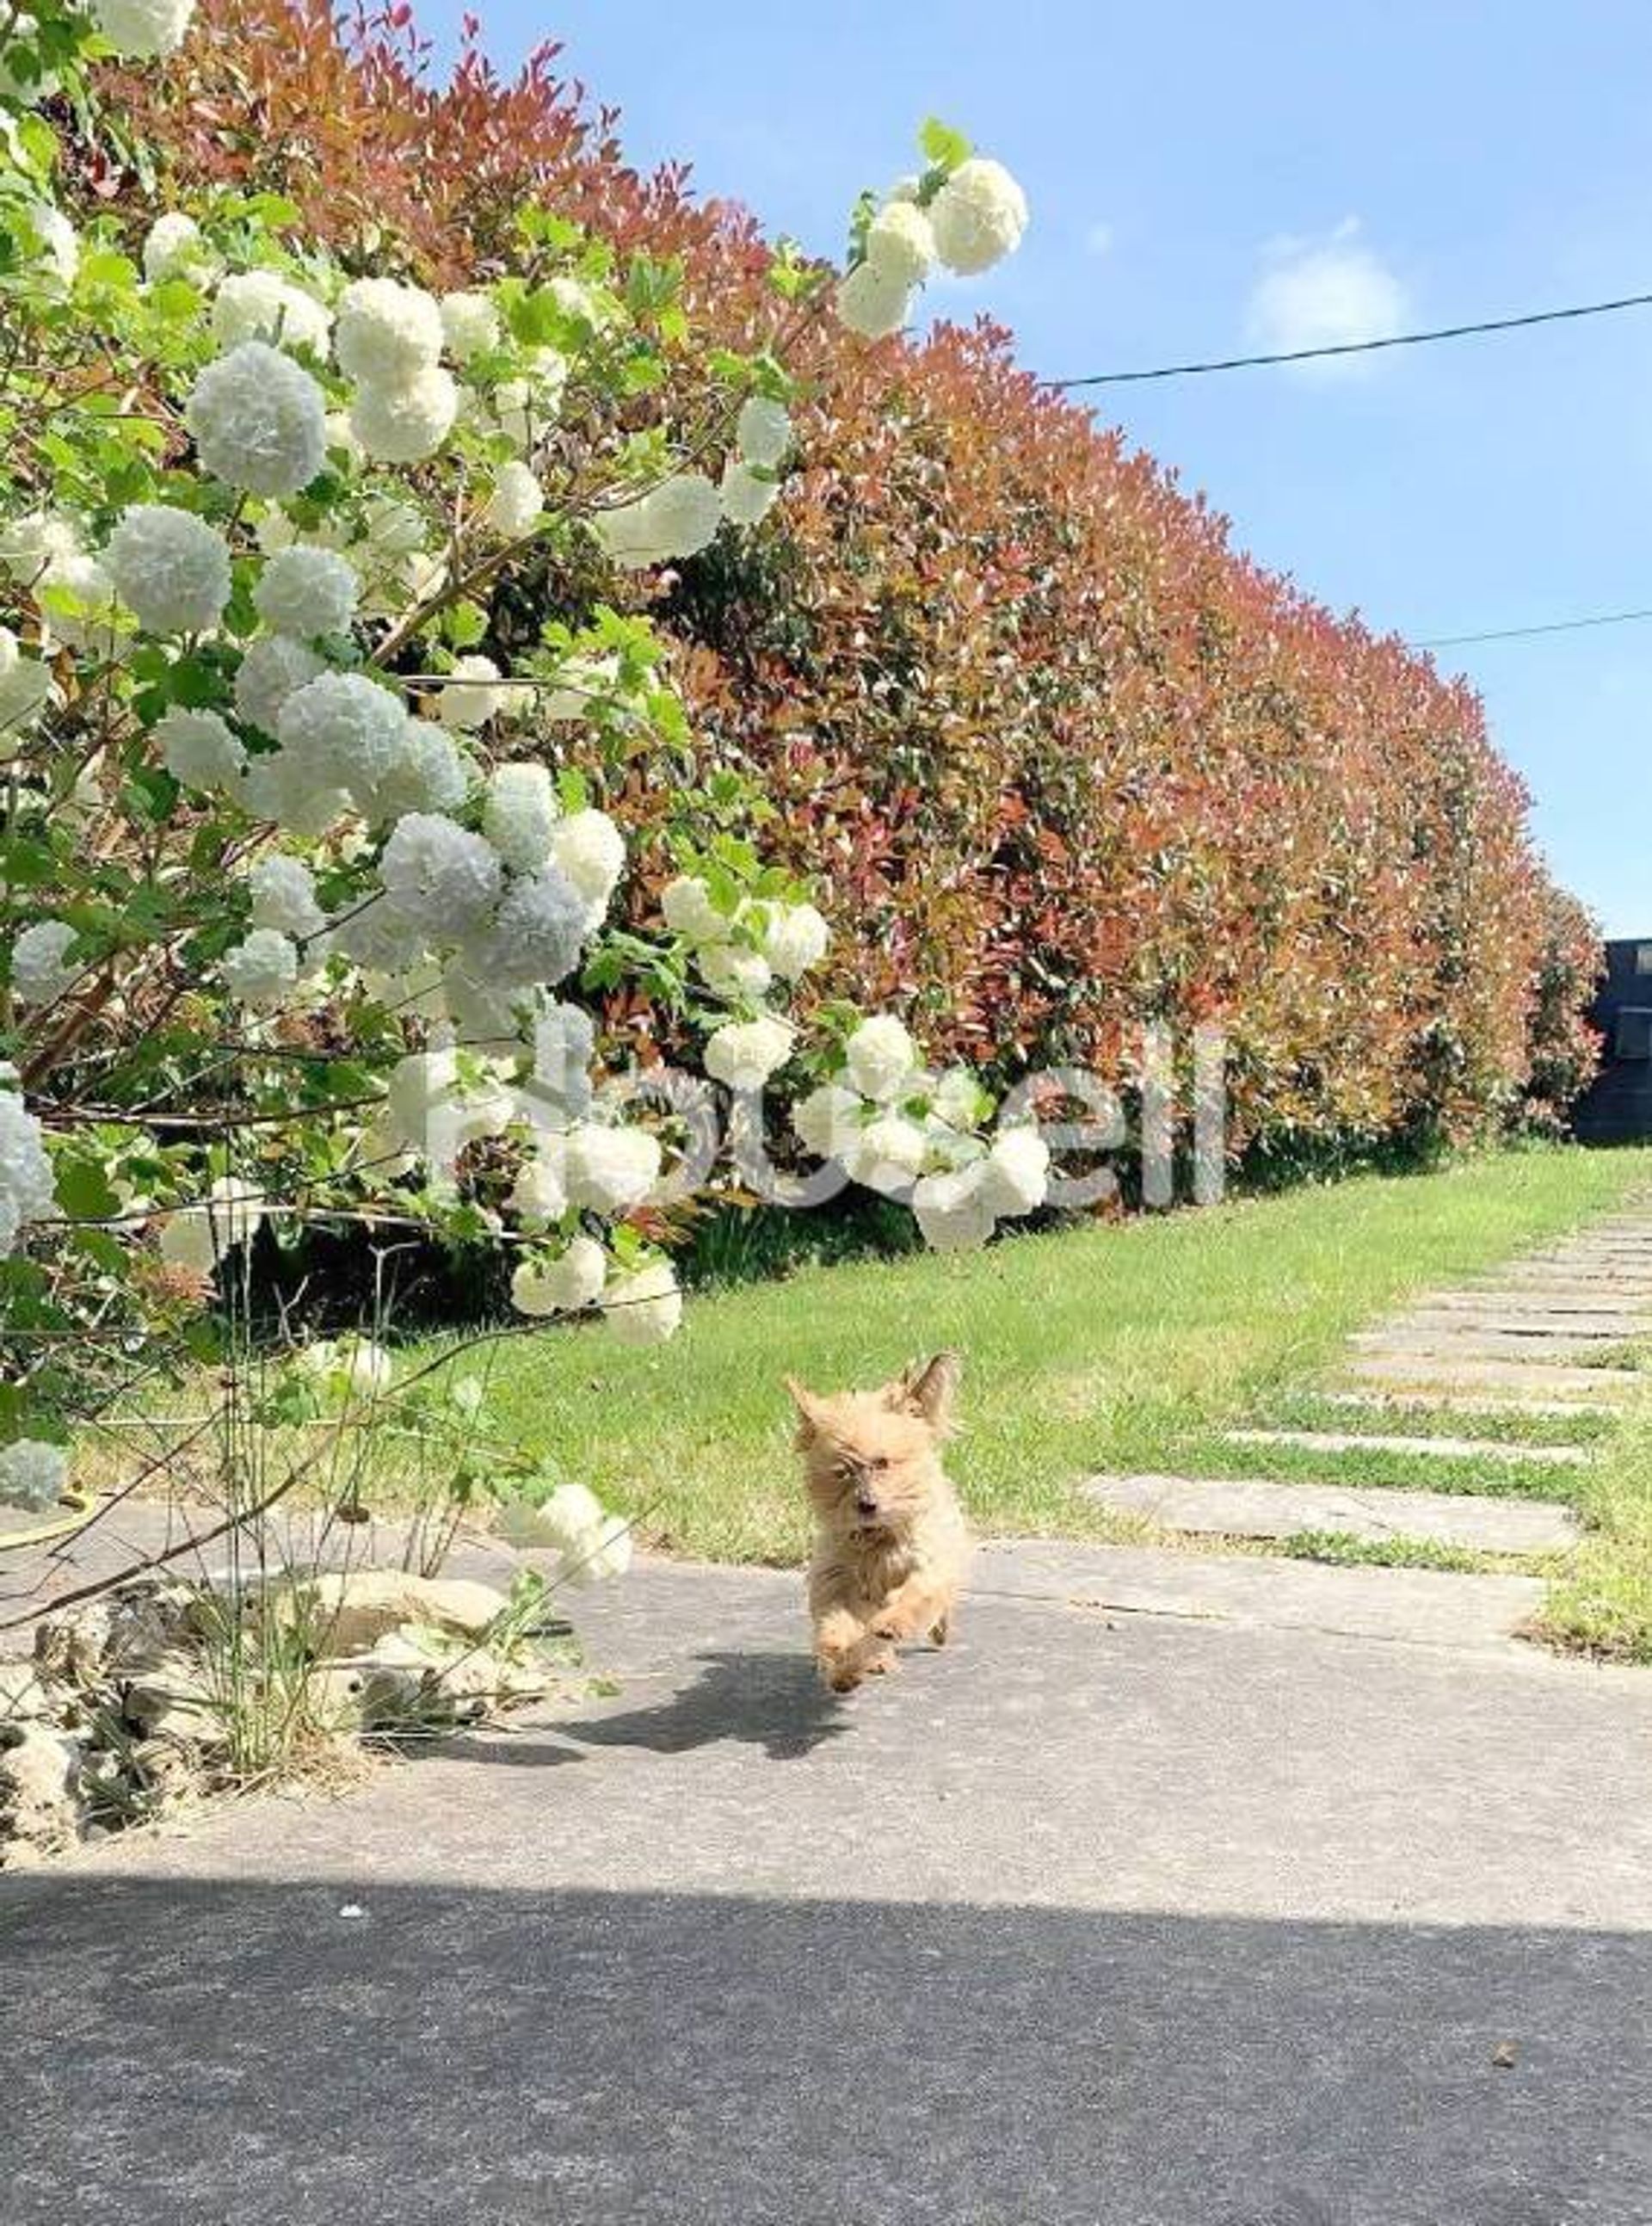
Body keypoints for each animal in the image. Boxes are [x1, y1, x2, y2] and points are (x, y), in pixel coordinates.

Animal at [788, 1344, 971, 1692]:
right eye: (842, 1472)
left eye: (882, 1463)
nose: (867, 1505)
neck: (878, 1536)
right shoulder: (837, 1580)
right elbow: (836, 1621)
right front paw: (838, 1654)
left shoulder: (927, 1562)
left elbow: (916, 1594)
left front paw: (894, 1622)